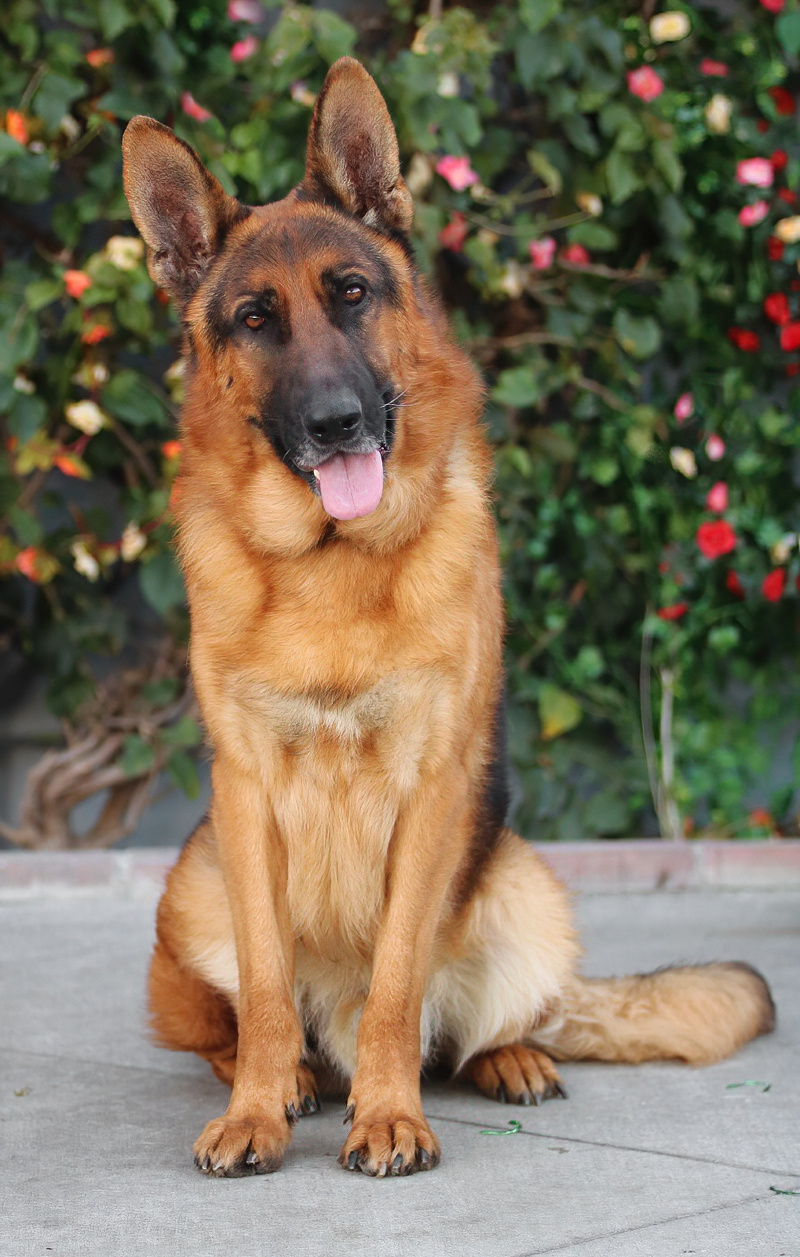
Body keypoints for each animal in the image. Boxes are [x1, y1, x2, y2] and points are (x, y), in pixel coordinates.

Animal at [121, 57, 775, 1179]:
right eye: (252, 319)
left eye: (351, 294)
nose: (337, 422)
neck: (332, 566)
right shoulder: (242, 794)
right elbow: (262, 987)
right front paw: (257, 1111)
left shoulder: (434, 789)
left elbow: (398, 982)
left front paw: (389, 1116)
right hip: (190, 886)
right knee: (243, 1025)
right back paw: (288, 1079)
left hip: (524, 887)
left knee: (466, 1029)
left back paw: (502, 1059)